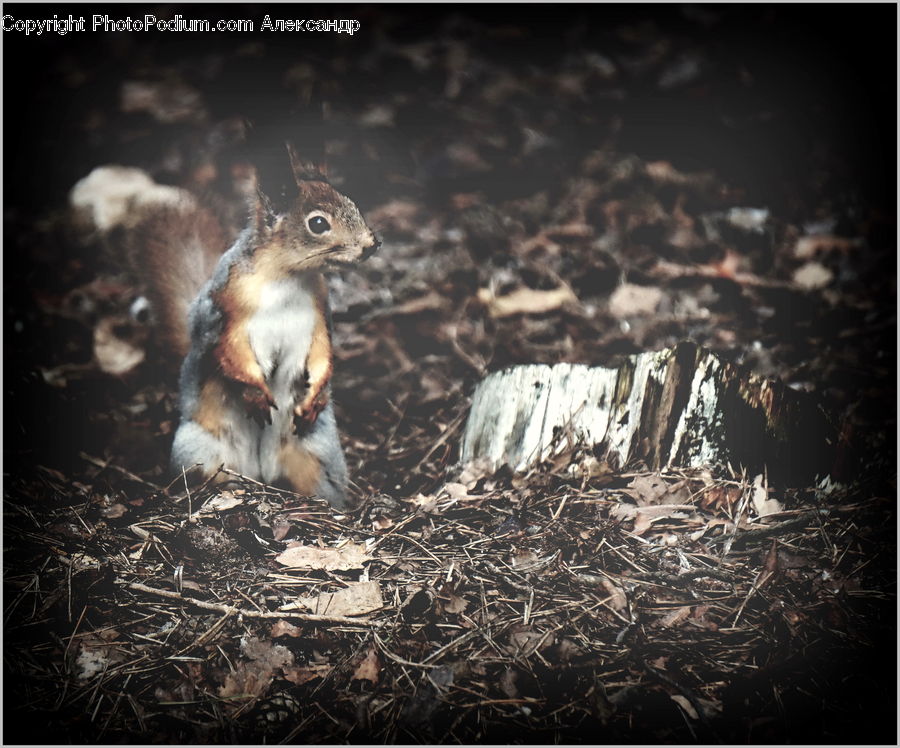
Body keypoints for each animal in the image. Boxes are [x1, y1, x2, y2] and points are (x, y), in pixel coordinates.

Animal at [70, 145, 380, 510]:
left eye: (353, 203)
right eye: (318, 223)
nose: (372, 244)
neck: (288, 276)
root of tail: (258, 471)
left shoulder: (319, 314)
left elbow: (321, 352)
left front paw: (316, 395)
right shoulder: (224, 311)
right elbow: (230, 352)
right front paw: (254, 394)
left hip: (317, 453)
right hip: (202, 451)